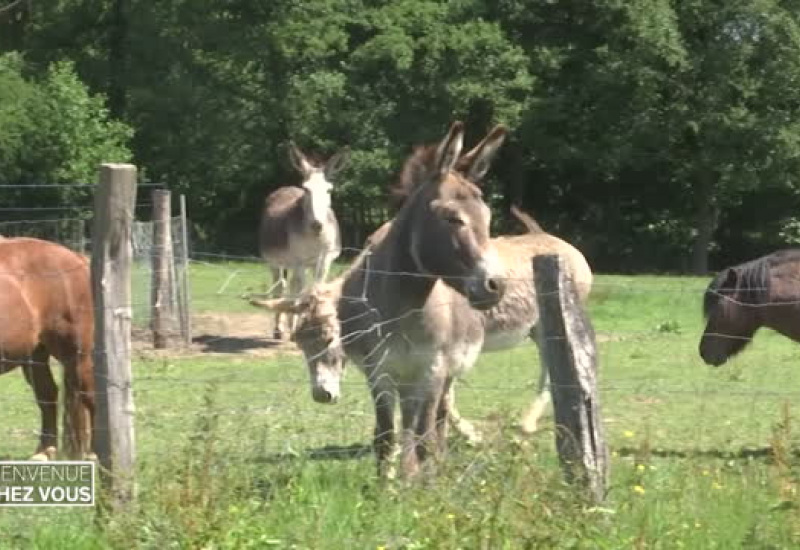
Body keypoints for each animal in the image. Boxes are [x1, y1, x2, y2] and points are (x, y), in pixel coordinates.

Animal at [0, 239, 95, 460]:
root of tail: (77, 258)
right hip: (35, 356)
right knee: (48, 395)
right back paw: (45, 451)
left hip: (76, 354)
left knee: (87, 396)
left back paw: (94, 453)